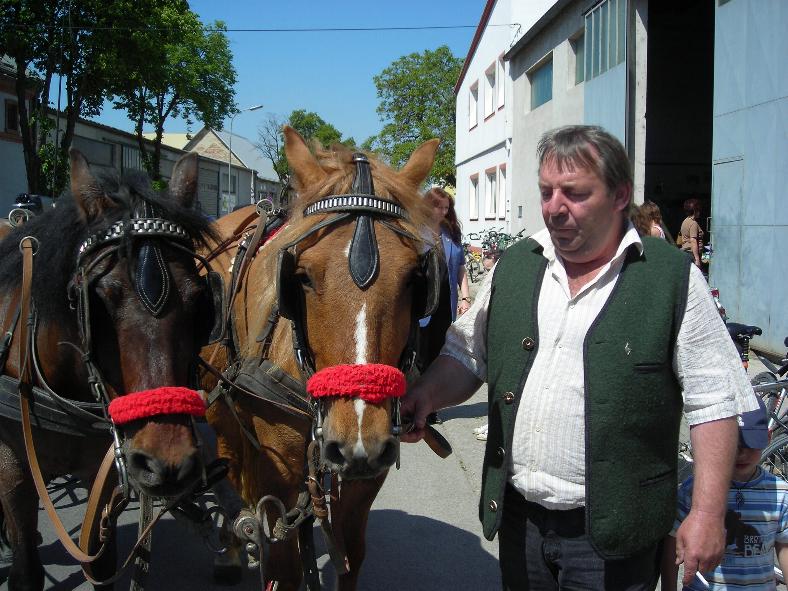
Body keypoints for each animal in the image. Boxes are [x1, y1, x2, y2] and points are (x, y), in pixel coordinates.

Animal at [0, 150, 222, 588]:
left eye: (198, 300)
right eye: (98, 300)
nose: (167, 461)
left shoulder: (99, 475)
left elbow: (101, 563)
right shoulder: (12, 467)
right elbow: (25, 566)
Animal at [200, 127, 440, 588]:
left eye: (413, 278)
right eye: (304, 276)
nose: (358, 442)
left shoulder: (365, 477)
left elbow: (350, 555)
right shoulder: (272, 471)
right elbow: (284, 567)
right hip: (220, 407)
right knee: (229, 464)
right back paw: (231, 550)